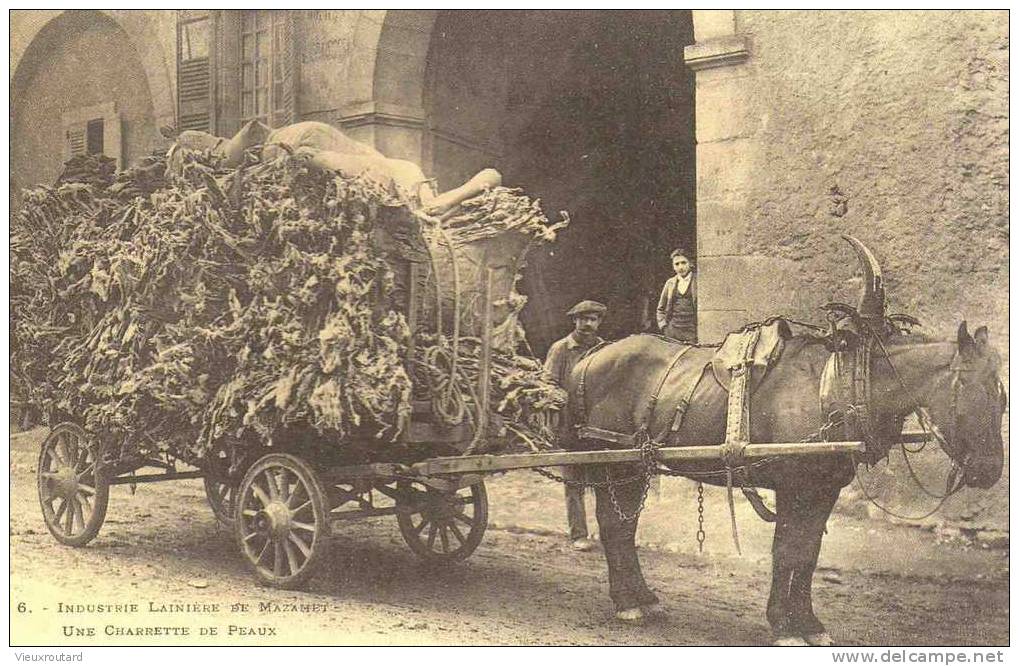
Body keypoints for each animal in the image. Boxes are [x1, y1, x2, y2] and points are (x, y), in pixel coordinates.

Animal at [562, 236, 1006, 647]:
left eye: (1001, 397)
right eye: (971, 389)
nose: (989, 471)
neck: (839, 386)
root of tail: (592, 356)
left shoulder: (823, 489)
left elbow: (807, 555)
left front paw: (808, 623)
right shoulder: (794, 486)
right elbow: (786, 551)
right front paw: (784, 626)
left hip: (633, 463)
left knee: (623, 526)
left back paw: (642, 598)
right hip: (614, 456)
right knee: (614, 525)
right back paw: (628, 602)